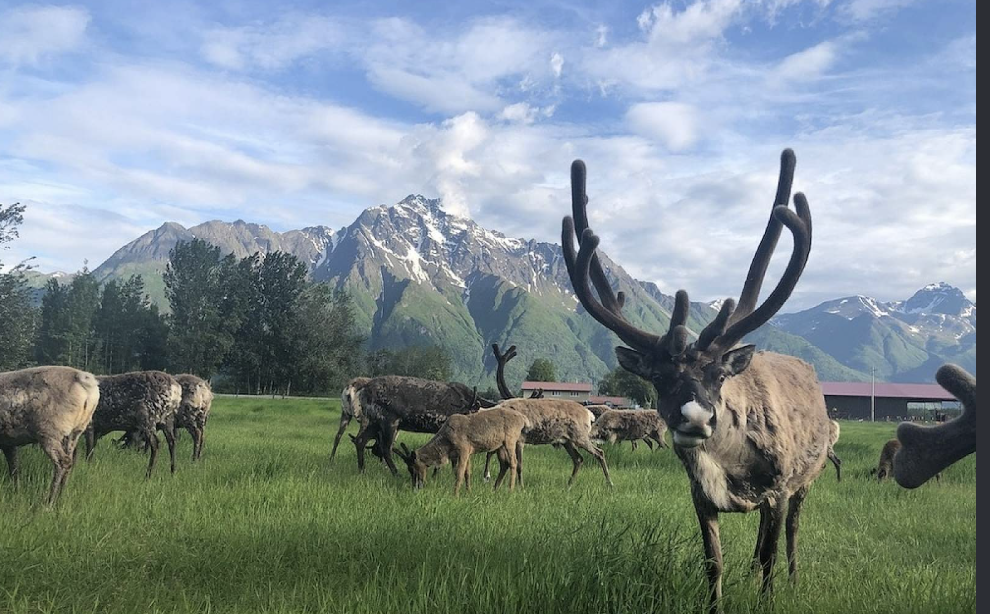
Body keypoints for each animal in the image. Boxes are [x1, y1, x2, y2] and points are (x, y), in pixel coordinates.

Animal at [561, 150, 830, 613]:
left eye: (718, 375)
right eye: (657, 377)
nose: (696, 418)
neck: (729, 464)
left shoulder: (778, 489)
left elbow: (772, 558)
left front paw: (769, 595)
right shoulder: (700, 497)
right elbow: (713, 564)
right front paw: (716, 602)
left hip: (806, 479)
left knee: (791, 535)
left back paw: (794, 578)